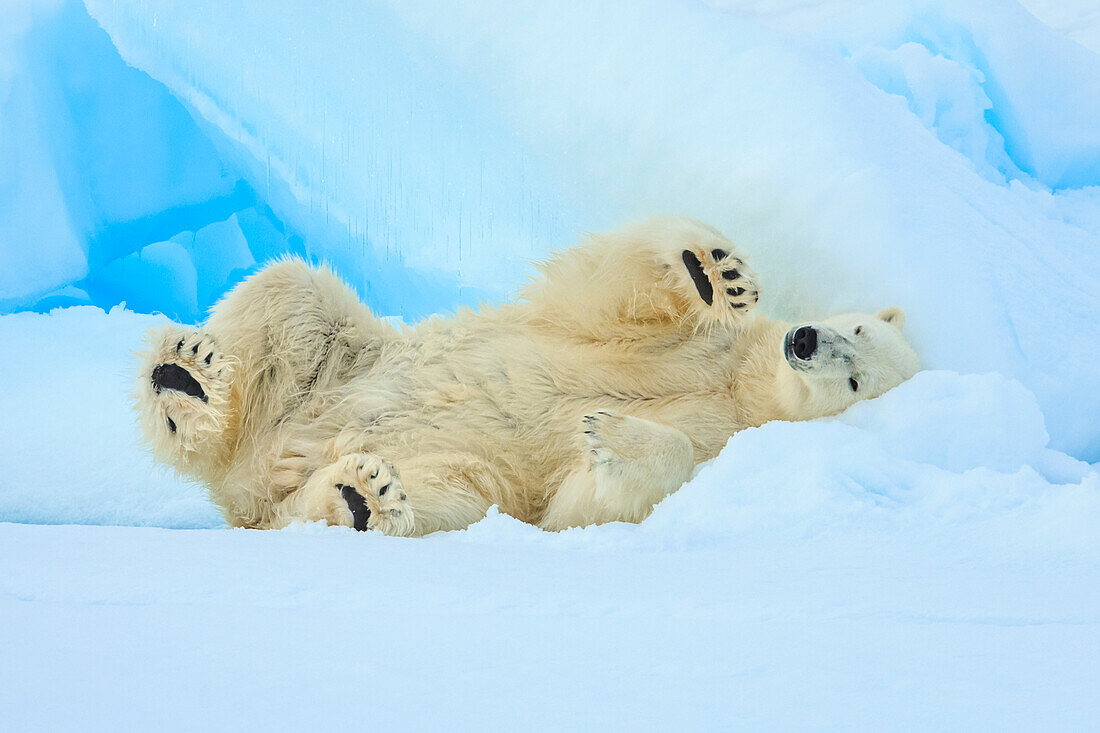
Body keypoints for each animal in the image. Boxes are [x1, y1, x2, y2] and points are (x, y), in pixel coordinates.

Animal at [130, 215, 919, 530]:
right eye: (856, 327)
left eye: (858, 381)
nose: (807, 340)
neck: (738, 386)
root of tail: (254, 478)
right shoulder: (691, 351)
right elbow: (604, 295)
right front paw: (714, 270)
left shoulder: (722, 437)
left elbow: (587, 500)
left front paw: (608, 432)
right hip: (338, 365)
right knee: (292, 295)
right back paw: (188, 378)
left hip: (450, 470)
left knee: (448, 496)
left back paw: (360, 496)